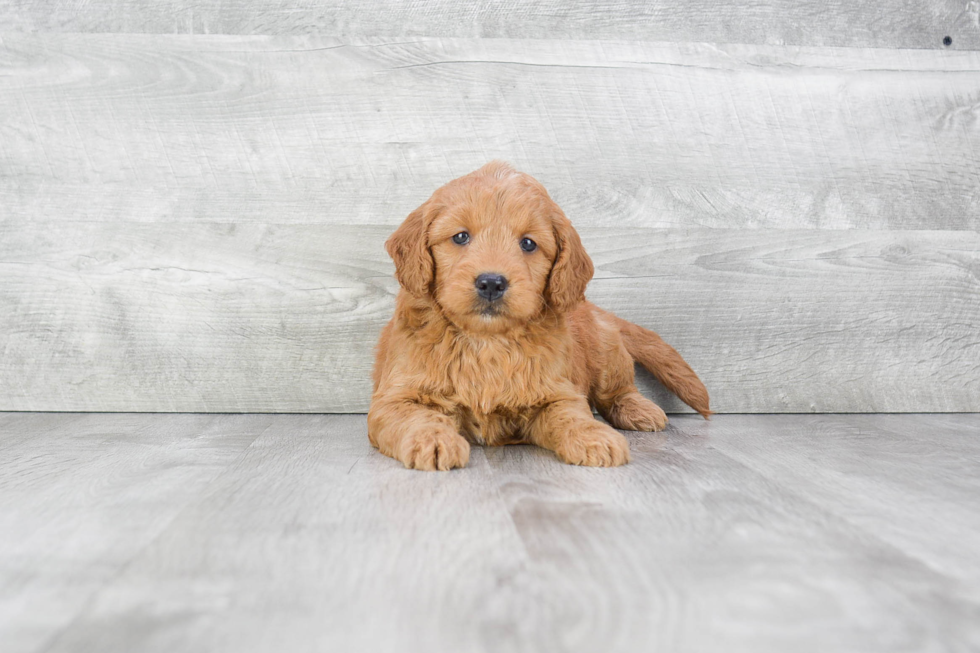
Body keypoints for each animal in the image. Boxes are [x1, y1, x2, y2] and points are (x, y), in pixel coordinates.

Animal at [372, 162, 708, 468]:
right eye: (460, 237)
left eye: (528, 243)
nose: (491, 283)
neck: (486, 341)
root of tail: (593, 307)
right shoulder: (393, 399)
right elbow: (416, 417)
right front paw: (433, 440)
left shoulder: (558, 392)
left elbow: (571, 416)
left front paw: (594, 437)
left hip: (606, 352)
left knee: (618, 389)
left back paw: (638, 409)